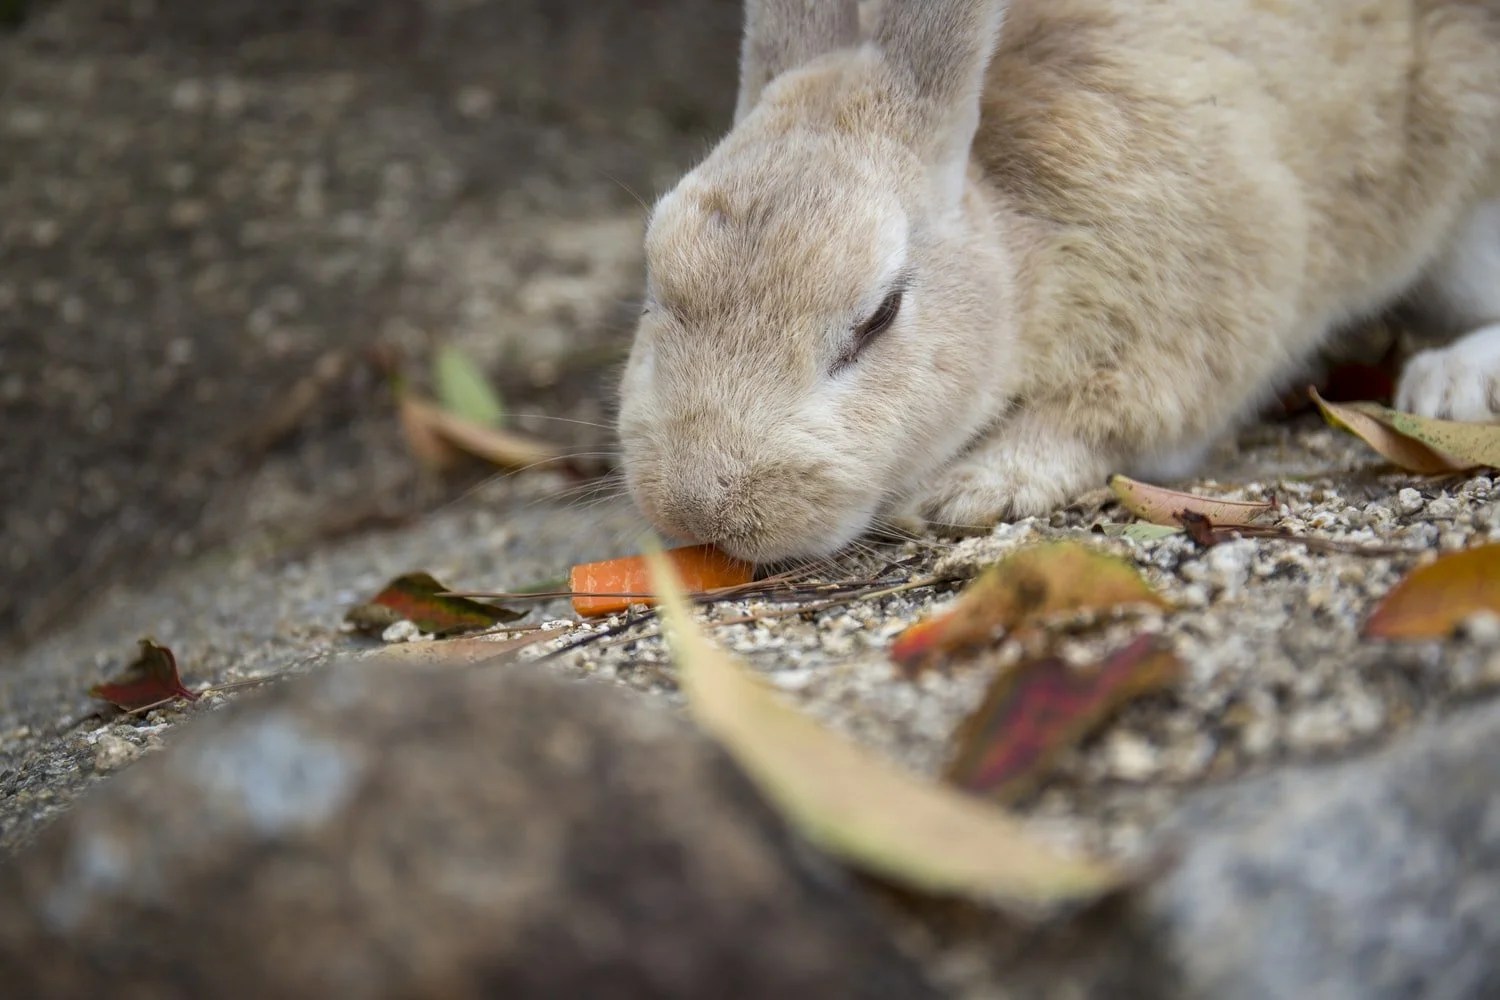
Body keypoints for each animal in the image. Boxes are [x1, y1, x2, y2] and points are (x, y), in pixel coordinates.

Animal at [615, 0, 1500, 564]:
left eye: (879, 316)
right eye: (657, 286)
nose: (697, 510)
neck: (1018, 258)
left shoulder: (1192, 325)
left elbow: (1104, 420)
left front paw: (975, 489)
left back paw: (1449, 385)